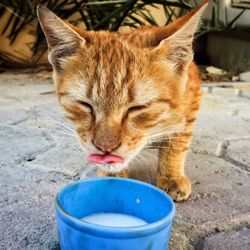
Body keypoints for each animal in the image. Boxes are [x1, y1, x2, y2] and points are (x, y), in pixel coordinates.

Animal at [37, 1, 208, 201]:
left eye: (137, 108)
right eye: (85, 105)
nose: (105, 148)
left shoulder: (190, 107)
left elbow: (177, 143)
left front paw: (171, 175)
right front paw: (112, 177)